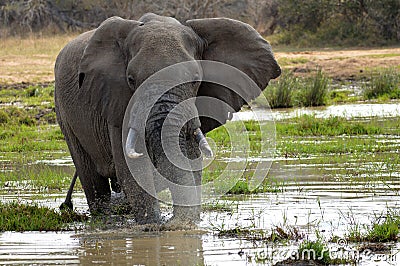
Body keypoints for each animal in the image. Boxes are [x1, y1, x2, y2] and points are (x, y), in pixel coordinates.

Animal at [54, 11, 282, 224]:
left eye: (196, 79)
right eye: (131, 80)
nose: (171, 222)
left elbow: (191, 163)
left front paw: (184, 225)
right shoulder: (118, 103)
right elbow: (133, 171)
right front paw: (155, 226)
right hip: (64, 112)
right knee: (93, 181)